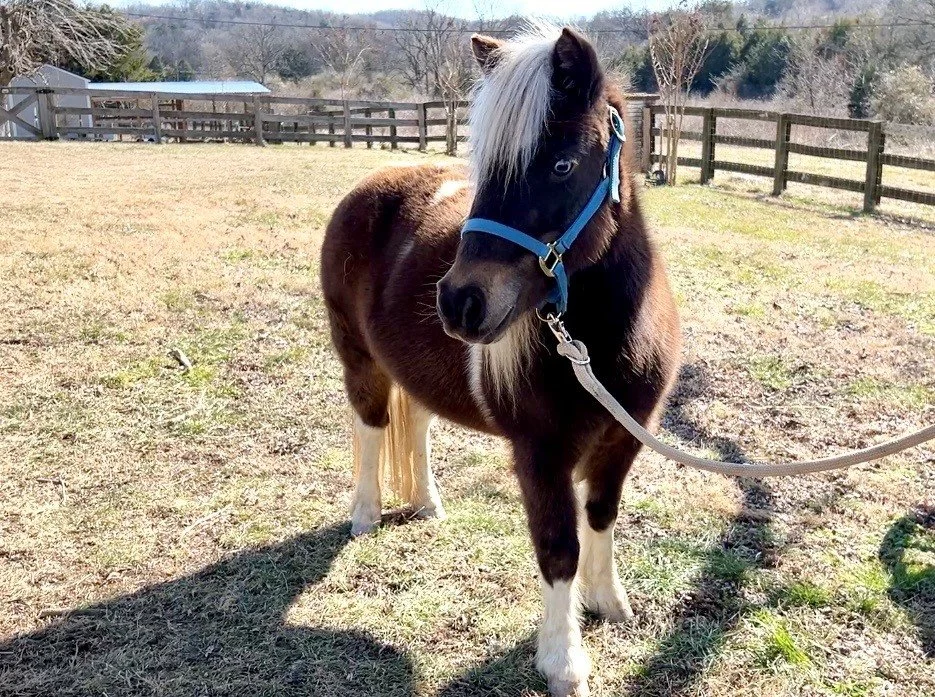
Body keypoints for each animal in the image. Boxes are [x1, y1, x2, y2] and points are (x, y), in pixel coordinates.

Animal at [321, 25, 681, 697]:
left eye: (562, 163)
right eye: (485, 164)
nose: (460, 302)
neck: (593, 348)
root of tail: (370, 185)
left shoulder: (622, 440)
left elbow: (601, 516)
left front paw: (609, 603)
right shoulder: (540, 455)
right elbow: (558, 548)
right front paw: (563, 662)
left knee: (416, 423)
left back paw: (427, 505)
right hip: (359, 362)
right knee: (372, 427)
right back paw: (365, 514)